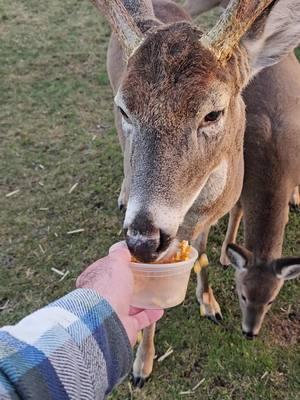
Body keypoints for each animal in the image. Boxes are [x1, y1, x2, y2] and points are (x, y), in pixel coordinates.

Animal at [90, 0, 300, 388]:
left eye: (213, 113)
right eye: (125, 109)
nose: (142, 238)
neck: (190, 212)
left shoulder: (214, 214)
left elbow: (201, 254)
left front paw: (210, 304)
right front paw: (141, 366)